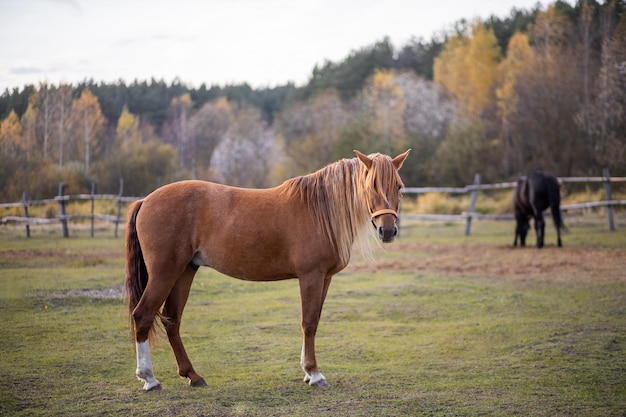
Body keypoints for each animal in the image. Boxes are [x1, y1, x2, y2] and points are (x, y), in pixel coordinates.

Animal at [126, 149, 410, 390]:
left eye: (398, 186)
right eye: (371, 186)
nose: (387, 231)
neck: (320, 210)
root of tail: (146, 200)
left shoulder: (325, 278)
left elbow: (315, 320)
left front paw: (307, 372)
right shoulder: (311, 276)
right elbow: (308, 322)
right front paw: (314, 373)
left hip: (185, 271)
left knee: (172, 320)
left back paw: (192, 376)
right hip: (165, 272)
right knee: (143, 315)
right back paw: (149, 379)